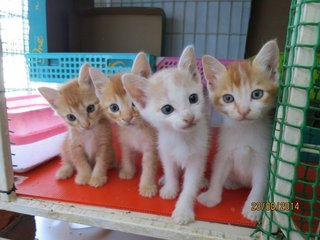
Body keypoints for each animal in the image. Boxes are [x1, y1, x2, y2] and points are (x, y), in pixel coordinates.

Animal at [89, 53, 159, 198]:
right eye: (114, 107)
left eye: (134, 104)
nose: (127, 118)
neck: (135, 130)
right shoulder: (125, 142)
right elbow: (126, 156)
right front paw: (127, 170)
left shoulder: (151, 146)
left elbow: (149, 166)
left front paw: (147, 186)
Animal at [121, 47, 209, 225]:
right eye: (167, 109)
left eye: (193, 98)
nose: (189, 117)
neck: (181, 138)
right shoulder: (165, 152)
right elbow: (170, 171)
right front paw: (170, 188)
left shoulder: (197, 158)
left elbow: (190, 186)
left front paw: (183, 210)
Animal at [196, 39, 278, 221]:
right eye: (228, 98)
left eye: (257, 94)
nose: (243, 111)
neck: (244, 130)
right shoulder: (224, 152)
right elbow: (217, 174)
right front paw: (211, 197)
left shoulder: (263, 158)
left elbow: (259, 184)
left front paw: (253, 209)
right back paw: (231, 182)